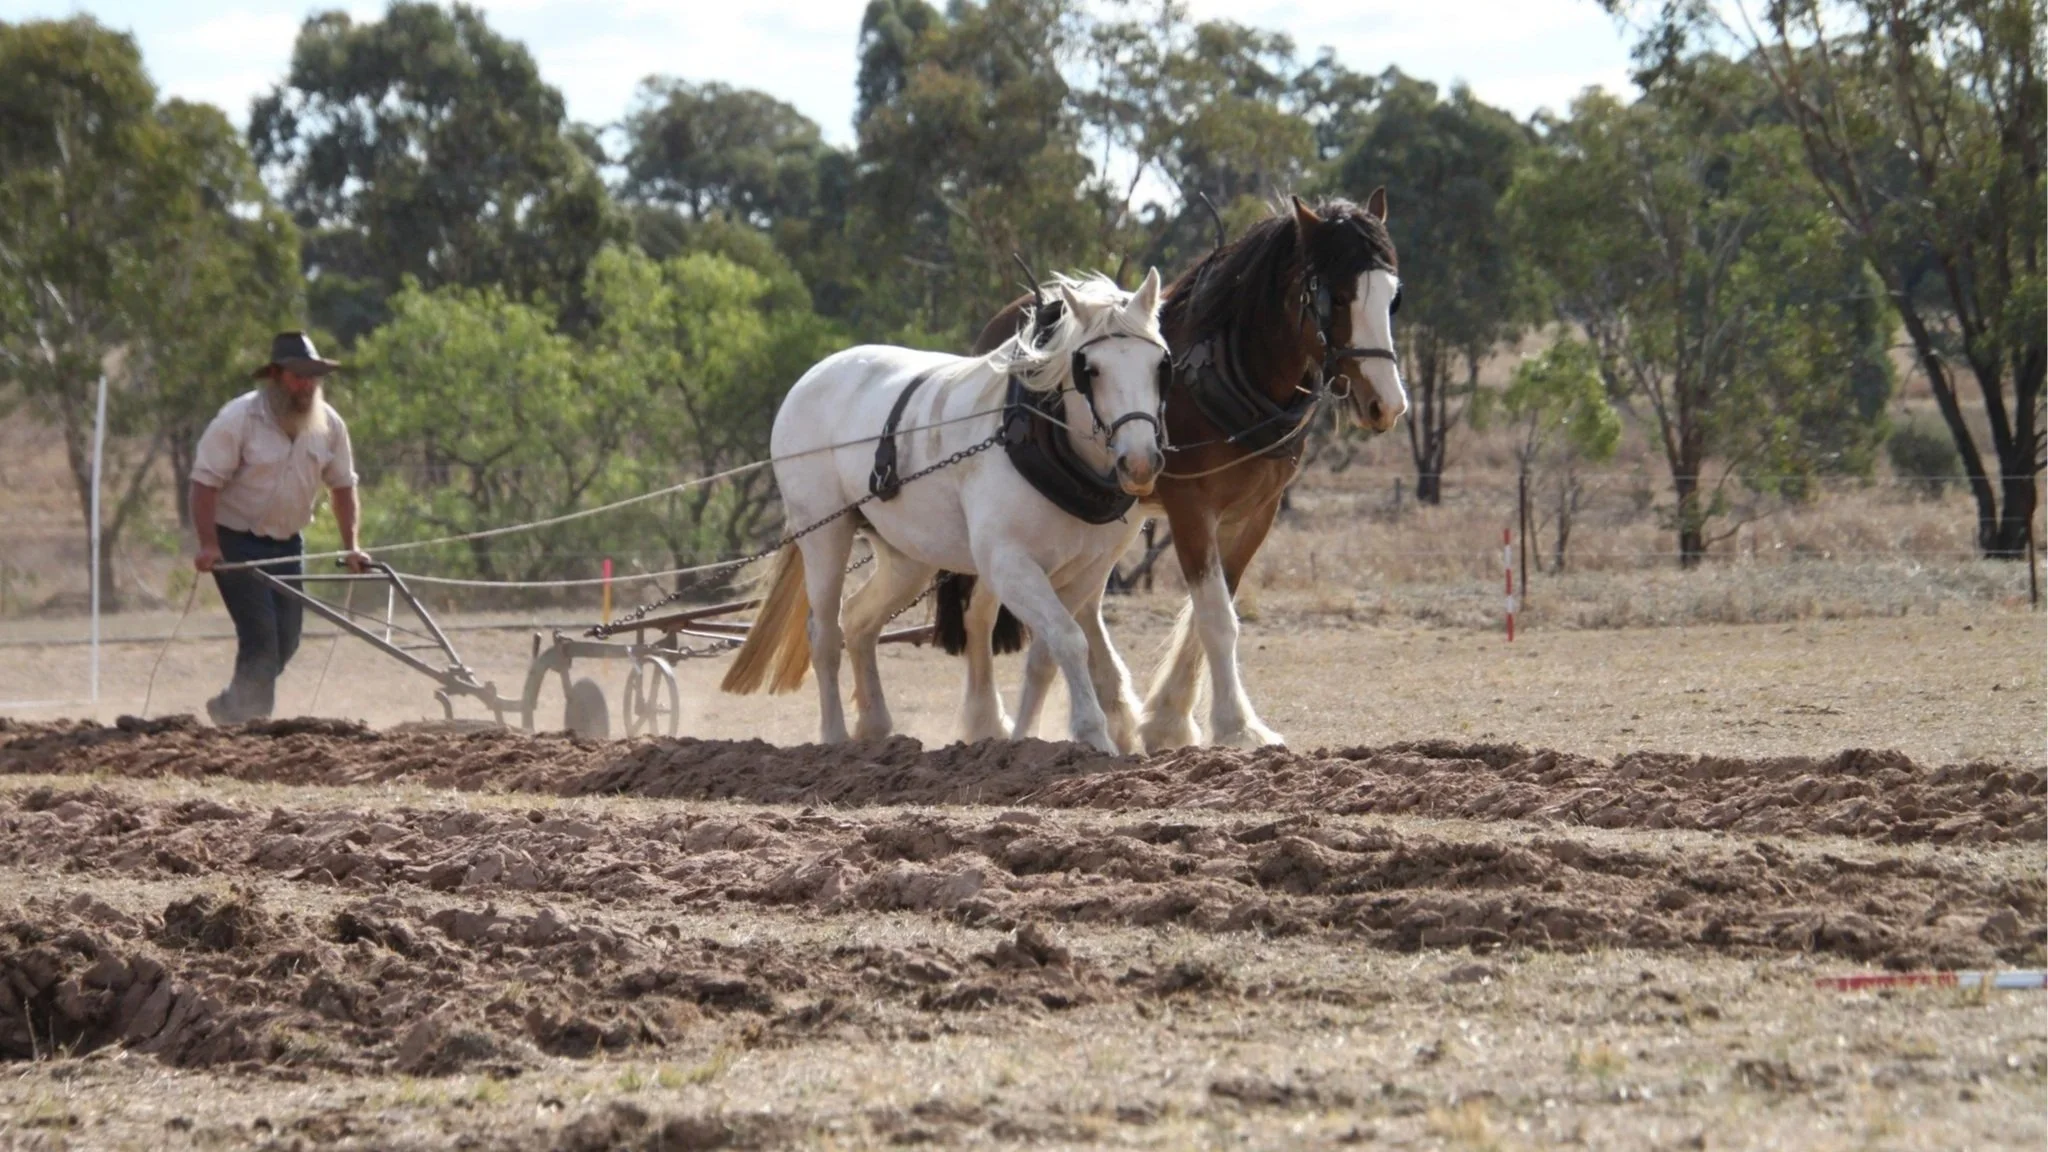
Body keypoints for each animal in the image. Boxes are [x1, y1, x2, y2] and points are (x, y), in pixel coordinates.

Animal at [719, 271, 1170, 755]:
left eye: (1158, 365)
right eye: (1092, 369)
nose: (1140, 463)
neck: (1040, 440)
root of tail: (811, 377)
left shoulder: (1088, 571)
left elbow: (1048, 652)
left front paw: (1023, 739)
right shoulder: (1008, 563)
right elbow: (1069, 639)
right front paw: (1093, 734)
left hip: (907, 558)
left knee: (859, 620)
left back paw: (875, 725)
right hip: (823, 533)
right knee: (824, 634)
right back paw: (835, 737)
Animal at [951, 192, 1406, 750]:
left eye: (1392, 297)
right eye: (1336, 297)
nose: (1387, 404)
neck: (1225, 370)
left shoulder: (1256, 513)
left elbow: (1213, 611)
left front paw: (1170, 718)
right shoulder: (1191, 506)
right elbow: (1215, 618)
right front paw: (1232, 725)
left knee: (1083, 603)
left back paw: (1116, 707)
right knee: (980, 610)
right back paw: (986, 721)